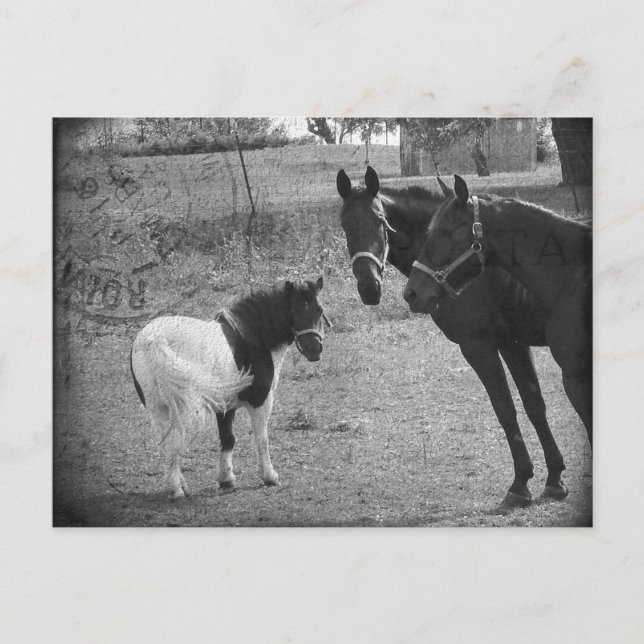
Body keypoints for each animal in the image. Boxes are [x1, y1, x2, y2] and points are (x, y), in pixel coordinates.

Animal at [130, 277, 328, 499]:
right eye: (292, 311)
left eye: (320, 310)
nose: (314, 349)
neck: (251, 337)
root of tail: (153, 340)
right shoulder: (261, 401)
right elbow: (261, 438)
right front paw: (269, 476)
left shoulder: (225, 405)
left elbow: (228, 439)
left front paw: (226, 479)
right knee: (172, 442)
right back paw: (176, 490)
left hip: (156, 407)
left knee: (168, 443)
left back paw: (179, 486)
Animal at [337, 166, 572, 508]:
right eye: (344, 225)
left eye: (380, 221)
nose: (369, 286)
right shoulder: (512, 344)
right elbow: (534, 405)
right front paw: (554, 478)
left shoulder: (479, 347)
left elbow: (506, 410)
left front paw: (520, 484)